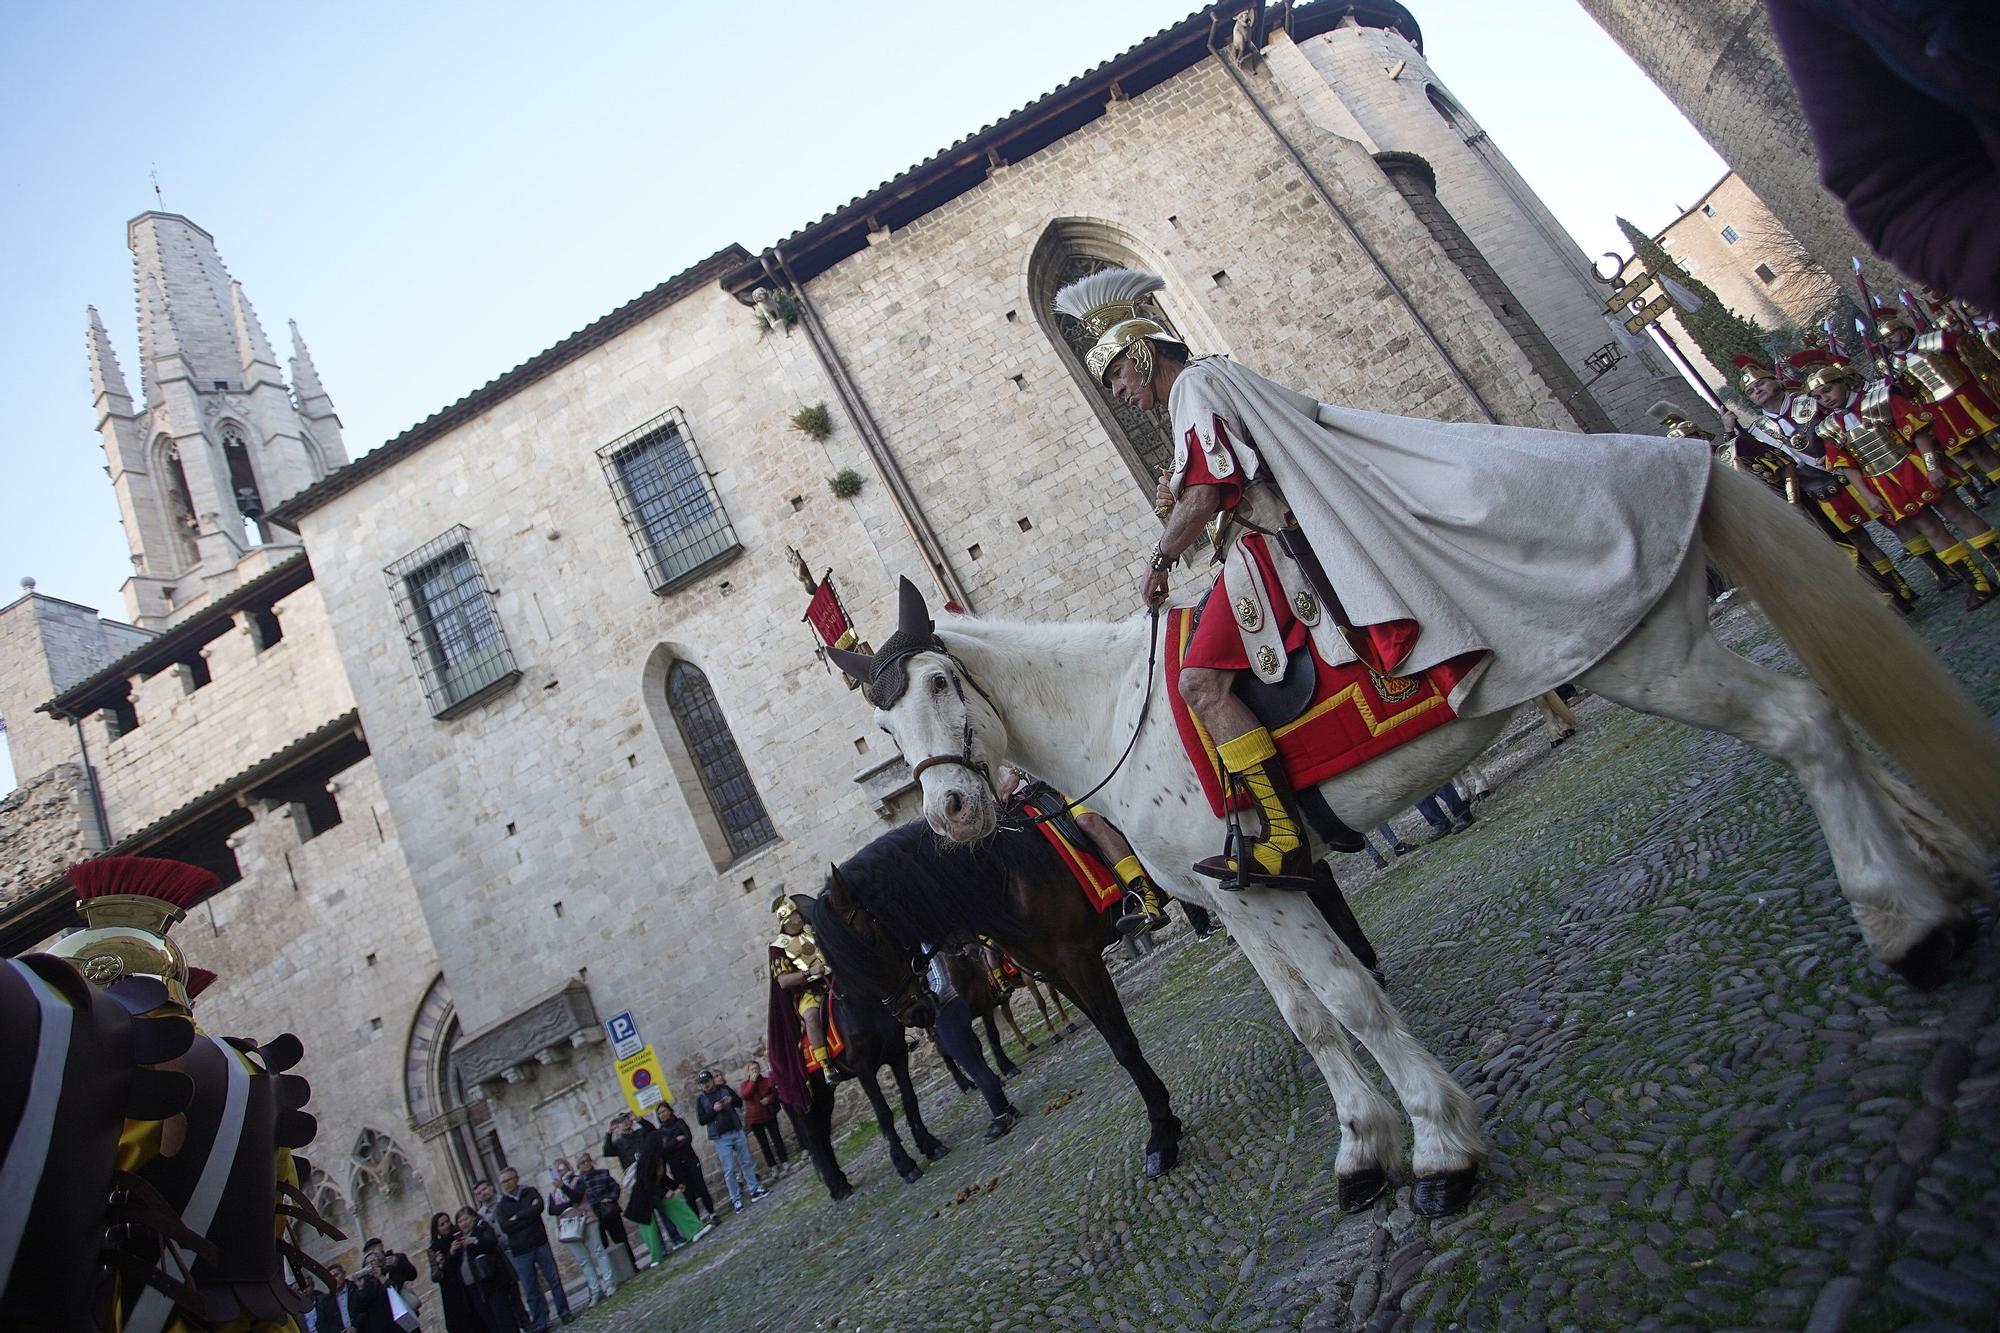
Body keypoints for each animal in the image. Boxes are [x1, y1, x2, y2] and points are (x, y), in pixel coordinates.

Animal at [848, 460, 2000, 1216]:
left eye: (941, 682)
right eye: (883, 723)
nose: (951, 815)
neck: (1115, 706)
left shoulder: (1268, 887)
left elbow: (1354, 1001)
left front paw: (1441, 1146)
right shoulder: (1234, 895)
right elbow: (1309, 1019)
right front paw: (1361, 1152)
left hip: (1649, 659)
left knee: (1802, 726)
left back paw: (1907, 923)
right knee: (1824, 717)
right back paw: (1934, 876)